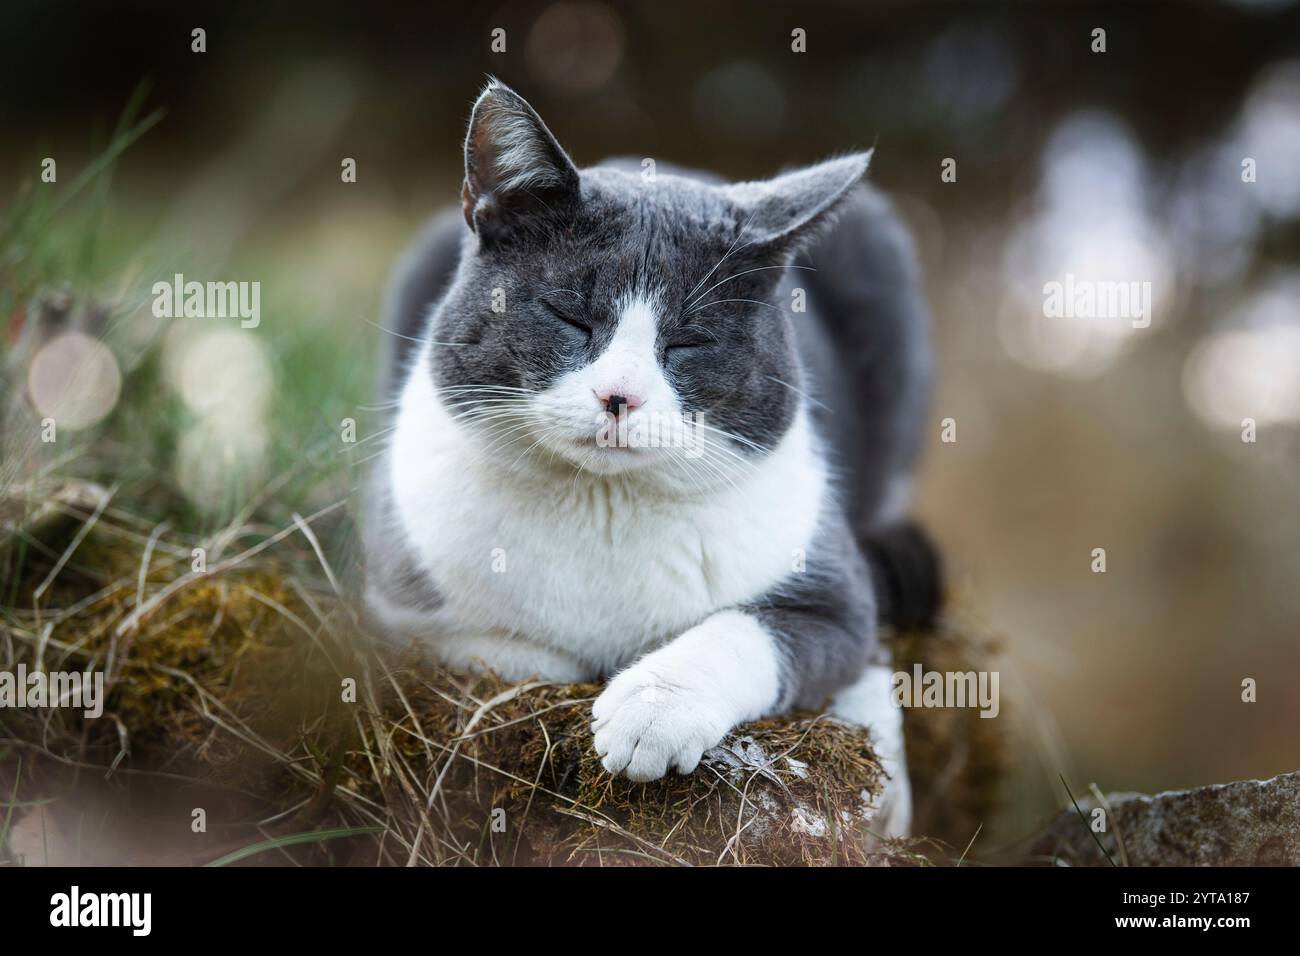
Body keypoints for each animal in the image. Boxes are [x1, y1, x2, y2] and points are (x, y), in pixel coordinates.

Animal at [361, 78, 941, 832]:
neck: (602, 504)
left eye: (688, 342)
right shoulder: (397, 601)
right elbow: (516, 655)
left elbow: (753, 630)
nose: (620, 396)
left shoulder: (837, 598)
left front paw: (652, 710)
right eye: (569, 316)